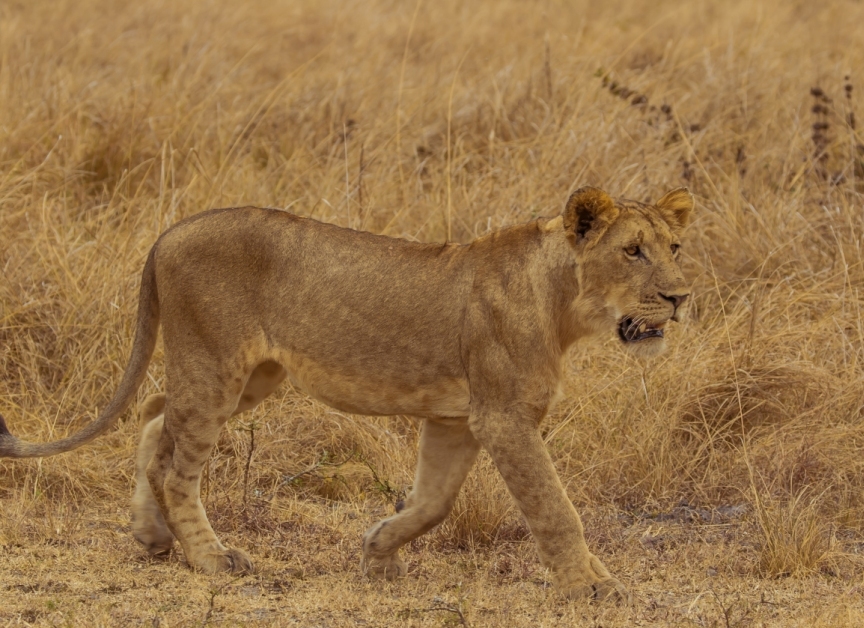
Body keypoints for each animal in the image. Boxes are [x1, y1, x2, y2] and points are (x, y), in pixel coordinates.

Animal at [0, 186, 692, 604]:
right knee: (176, 466)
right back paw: (212, 558)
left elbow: (433, 502)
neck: (563, 303)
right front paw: (592, 587)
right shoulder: (503, 417)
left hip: (253, 375)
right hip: (216, 365)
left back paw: (151, 537)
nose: (682, 296)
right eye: (633, 251)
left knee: (150, 416)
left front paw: (378, 554)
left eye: (675, 247)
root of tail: (170, 231)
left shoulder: (456, 419)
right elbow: (555, 508)